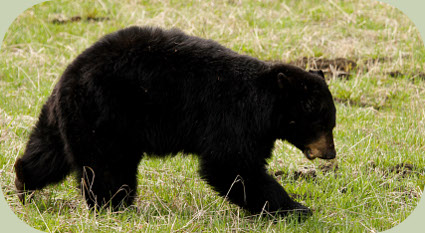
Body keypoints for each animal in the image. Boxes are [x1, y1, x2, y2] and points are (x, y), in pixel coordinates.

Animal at [14, 26, 336, 218]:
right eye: (322, 123)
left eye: (331, 123)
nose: (330, 153)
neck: (265, 103)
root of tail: (69, 73)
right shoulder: (233, 119)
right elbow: (231, 166)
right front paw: (296, 208)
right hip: (106, 115)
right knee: (106, 166)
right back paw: (113, 205)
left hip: (73, 117)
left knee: (49, 152)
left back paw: (23, 183)